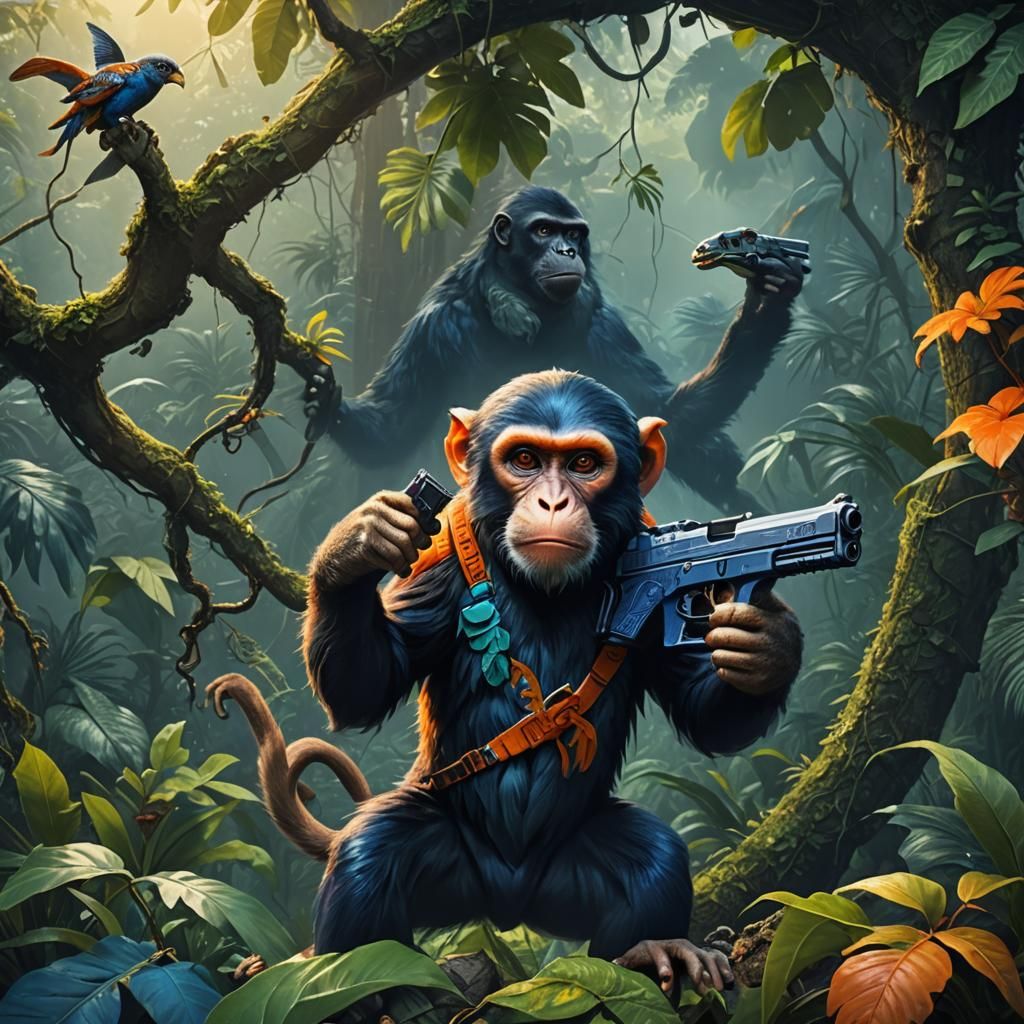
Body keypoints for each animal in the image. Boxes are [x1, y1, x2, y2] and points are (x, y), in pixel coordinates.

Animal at [211, 369, 804, 999]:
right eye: (524, 459)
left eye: (584, 464)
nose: (552, 500)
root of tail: (505, 905)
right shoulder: (442, 562)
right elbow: (365, 689)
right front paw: (356, 546)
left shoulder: (663, 592)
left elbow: (705, 716)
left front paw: (768, 644)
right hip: (449, 863)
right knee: (368, 856)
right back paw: (360, 987)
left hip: (565, 880)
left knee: (654, 861)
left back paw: (652, 950)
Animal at [305, 186, 807, 511]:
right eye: (544, 231)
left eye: (575, 233)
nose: (567, 251)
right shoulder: (435, 326)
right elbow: (394, 425)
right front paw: (327, 400)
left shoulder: (601, 325)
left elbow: (662, 412)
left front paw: (767, 300)